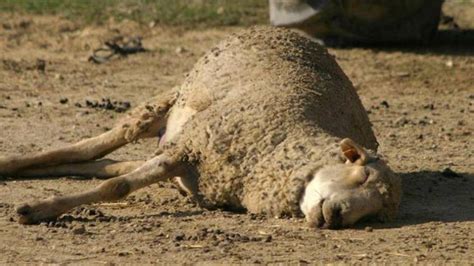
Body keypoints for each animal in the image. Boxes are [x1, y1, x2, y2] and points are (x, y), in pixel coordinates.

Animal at [0, 26, 402, 228]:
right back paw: (11, 165)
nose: (337, 217)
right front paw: (36, 210)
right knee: (90, 147)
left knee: (101, 162)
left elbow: (115, 180)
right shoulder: (191, 145)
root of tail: (284, 30)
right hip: (166, 105)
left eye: (376, 213)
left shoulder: (195, 161)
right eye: (362, 176)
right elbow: (117, 187)